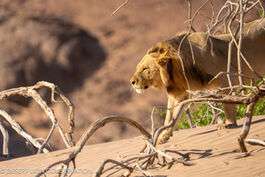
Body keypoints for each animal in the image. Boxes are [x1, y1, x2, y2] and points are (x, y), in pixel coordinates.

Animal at [130, 18, 264, 144]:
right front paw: (162, 137)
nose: (132, 82)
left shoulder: (227, 76)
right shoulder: (178, 92)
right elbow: (170, 116)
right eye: (137, 68)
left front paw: (230, 123)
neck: (176, 66)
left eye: (144, 69)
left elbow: (227, 103)